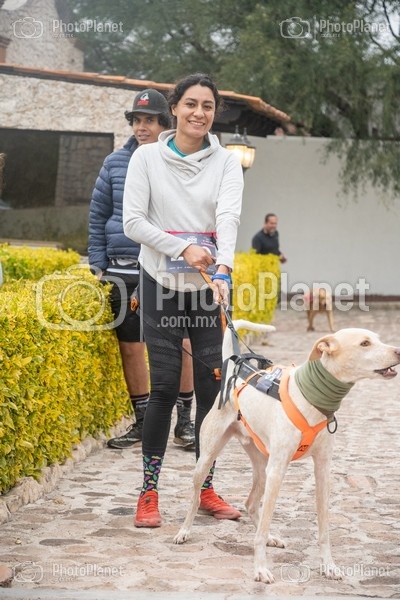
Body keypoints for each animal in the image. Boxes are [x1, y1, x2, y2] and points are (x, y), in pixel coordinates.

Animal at [174, 320, 400, 584]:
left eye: (378, 339)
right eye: (365, 343)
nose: (398, 351)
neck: (311, 397)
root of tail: (234, 377)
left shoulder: (322, 470)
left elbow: (324, 528)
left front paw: (328, 565)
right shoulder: (278, 470)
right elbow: (261, 530)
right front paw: (260, 569)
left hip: (262, 467)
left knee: (251, 503)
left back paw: (271, 536)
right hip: (210, 459)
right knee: (196, 497)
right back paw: (184, 531)